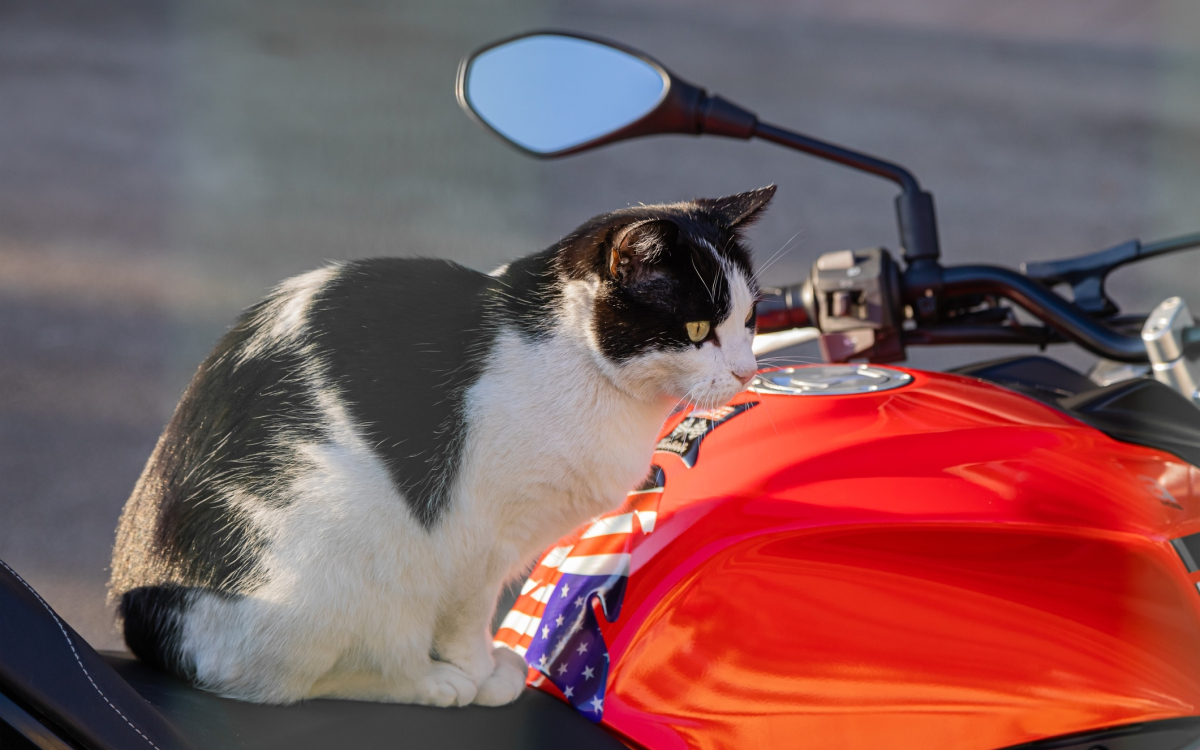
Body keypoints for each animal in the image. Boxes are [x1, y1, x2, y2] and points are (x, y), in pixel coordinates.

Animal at [112, 184, 777, 705]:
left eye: (750, 319)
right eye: (696, 328)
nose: (746, 372)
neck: (579, 362)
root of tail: (143, 621)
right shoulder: (478, 535)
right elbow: (469, 615)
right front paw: (477, 671)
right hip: (339, 550)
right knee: (285, 678)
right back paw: (430, 683)